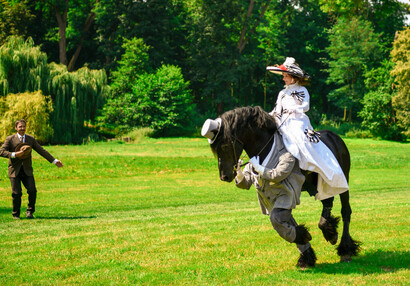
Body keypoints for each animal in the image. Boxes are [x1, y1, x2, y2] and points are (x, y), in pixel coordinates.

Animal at [204, 106, 358, 268]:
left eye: (225, 145)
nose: (225, 176)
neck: (266, 147)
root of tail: (336, 138)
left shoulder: (288, 190)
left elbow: (278, 219)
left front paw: (303, 240)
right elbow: (284, 221)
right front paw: (305, 251)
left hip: (342, 183)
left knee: (345, 211)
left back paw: (345, 249)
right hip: (319, 185)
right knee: (327, 203)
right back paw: (329, 231)